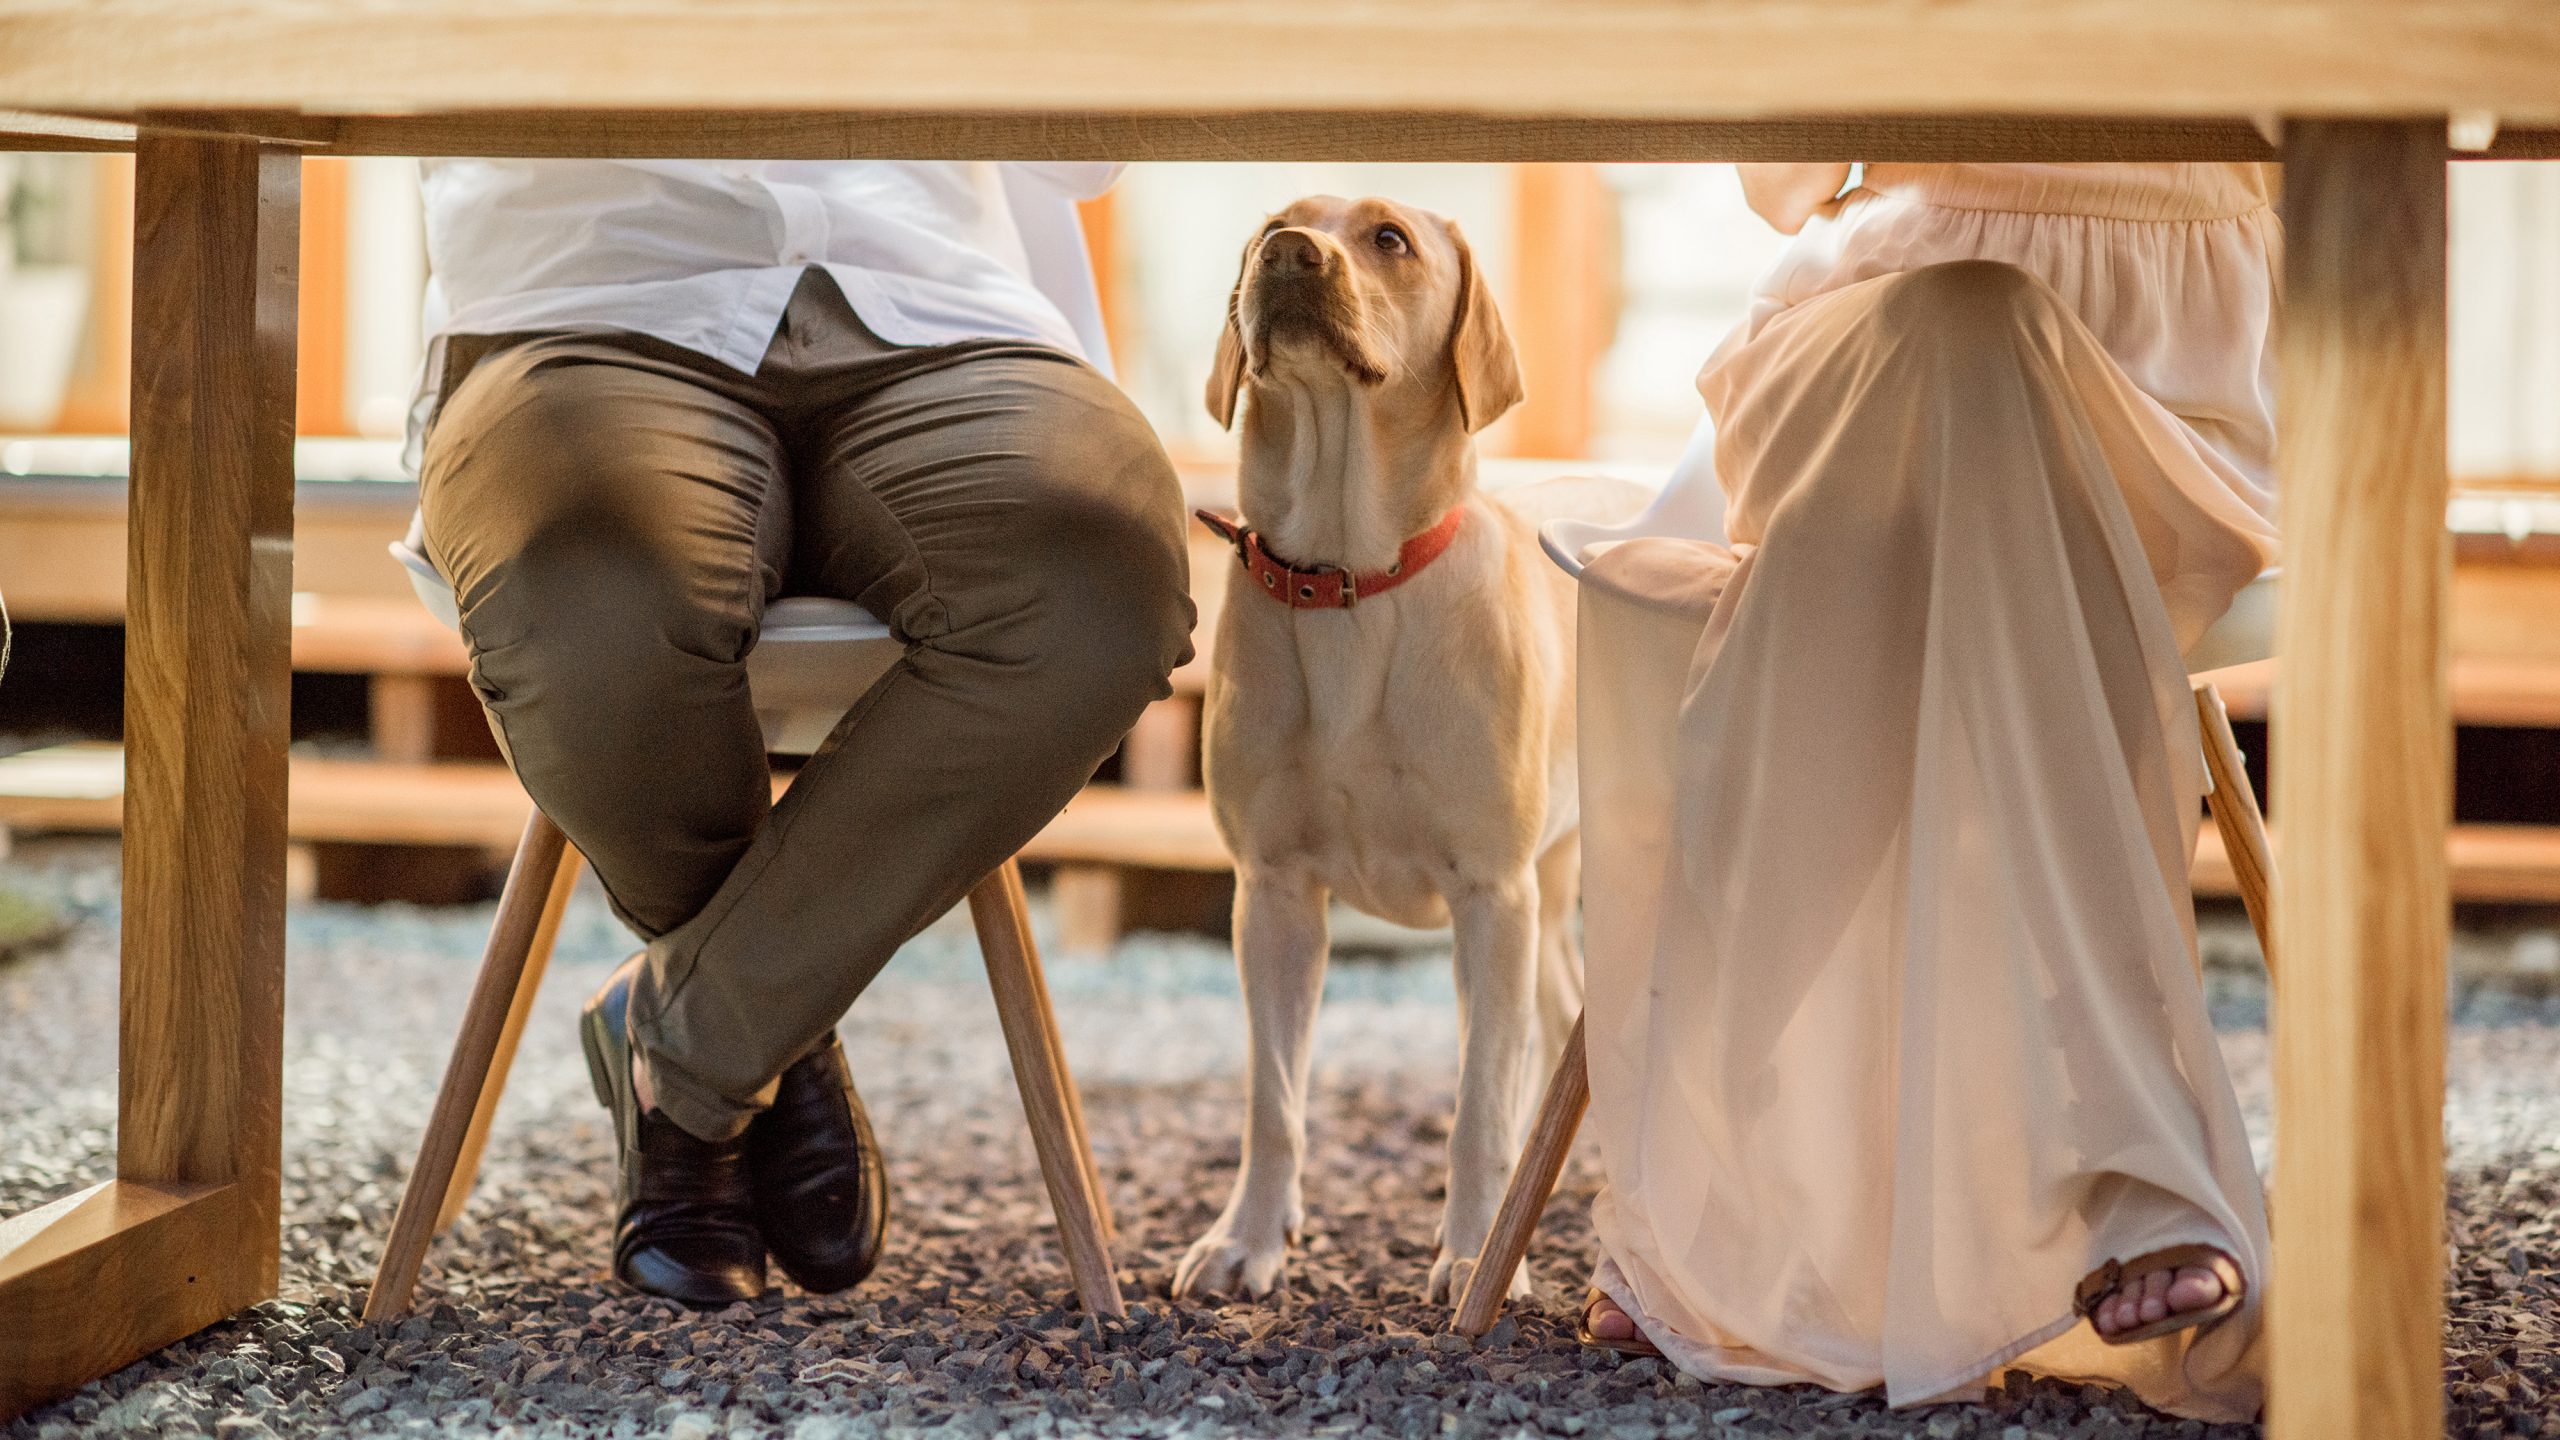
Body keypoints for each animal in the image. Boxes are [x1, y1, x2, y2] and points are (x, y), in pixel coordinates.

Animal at [1172, 196, 1638, 1306]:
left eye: (1389, 239)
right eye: (1271, 221)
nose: (1287, 255)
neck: (1350, 580)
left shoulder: (1489, 897)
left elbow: (1476, 1106)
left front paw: (1474, 1256)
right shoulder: (1273, 894)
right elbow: (1273, 1100)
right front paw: (1247, 1239)